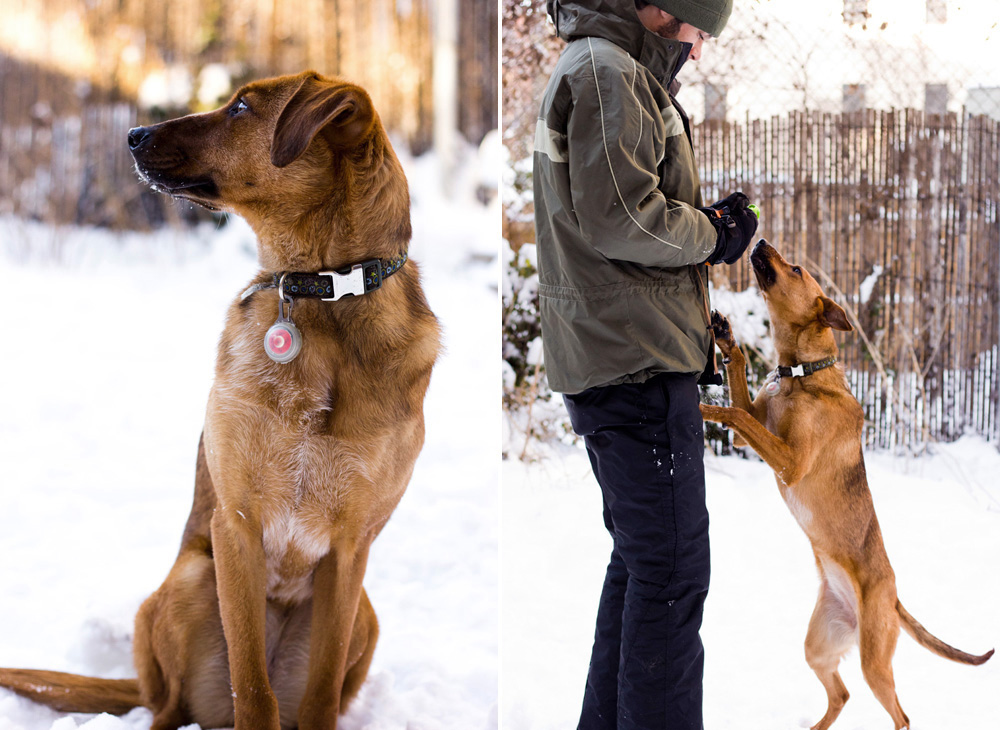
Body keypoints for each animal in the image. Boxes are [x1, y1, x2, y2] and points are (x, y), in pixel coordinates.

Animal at [0, 69, 442, 728]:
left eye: (240, 108)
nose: (133, 134)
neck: (321, 294)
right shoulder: (236, 524)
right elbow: (251, 684)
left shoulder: (349, 550)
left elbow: (319, 691)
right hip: (190, 581)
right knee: (170, 705)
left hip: (365, 612)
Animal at [700, 240, 996, 728]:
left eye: (796, 269)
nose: (759, 242)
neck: (803, 374)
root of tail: (892, 598)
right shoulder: (760, 434)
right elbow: (742, 393)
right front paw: (727, 339)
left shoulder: (790, 462)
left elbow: (737, 414)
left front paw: (707, 407)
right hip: (819, 645)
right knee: (840, 695)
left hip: (873, 659)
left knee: (900, 715)